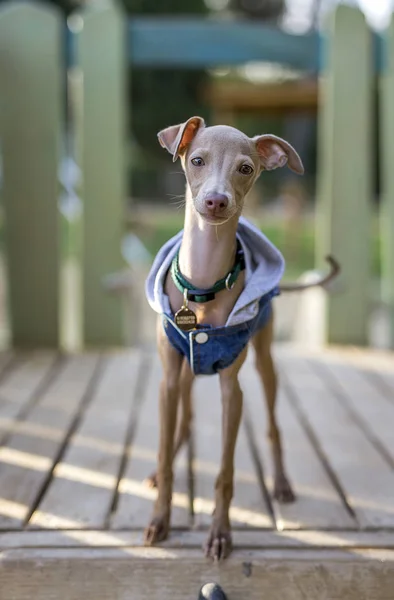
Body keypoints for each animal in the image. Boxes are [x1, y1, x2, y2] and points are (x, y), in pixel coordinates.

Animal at [144, 118, 338, 564]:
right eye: (197, 160)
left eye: (245, 169)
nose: (216, 201)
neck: (202, 286)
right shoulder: (167, 379)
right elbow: (164, 450)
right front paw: (160, 520)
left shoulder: (233, 390)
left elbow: (225, 473)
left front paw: (220, 534)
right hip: (184, 374)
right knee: (183, 421)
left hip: (265, 362)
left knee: (272, 426)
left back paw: (281, 483)